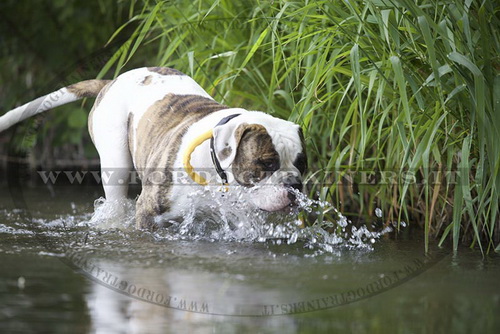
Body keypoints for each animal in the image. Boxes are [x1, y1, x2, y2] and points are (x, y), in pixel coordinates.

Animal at [0, 66, 306, 228]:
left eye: (301, 163)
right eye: (267, 163)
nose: (294, 184)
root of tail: (113, 81)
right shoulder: (148, 212)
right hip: (115, 161)